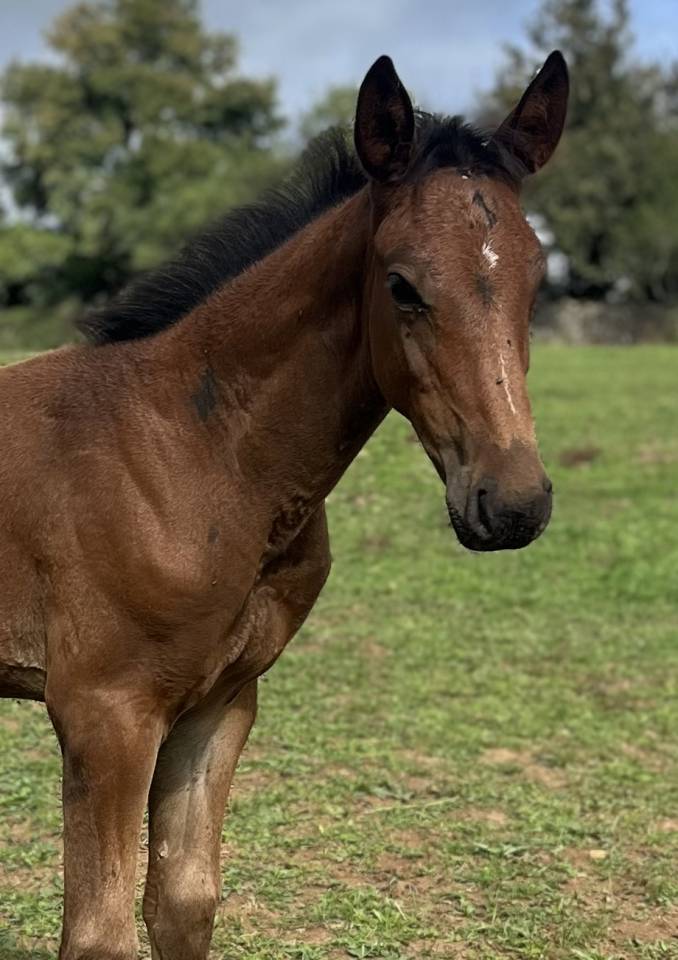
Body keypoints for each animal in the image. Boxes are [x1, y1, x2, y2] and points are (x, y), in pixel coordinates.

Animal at [0, 51, 568, 959]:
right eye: (401, 285)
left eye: (537, 281)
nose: (513, 502)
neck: (197, 449)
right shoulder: (102, 714)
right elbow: (99, 933)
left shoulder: (220, 702)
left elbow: (183, 902)